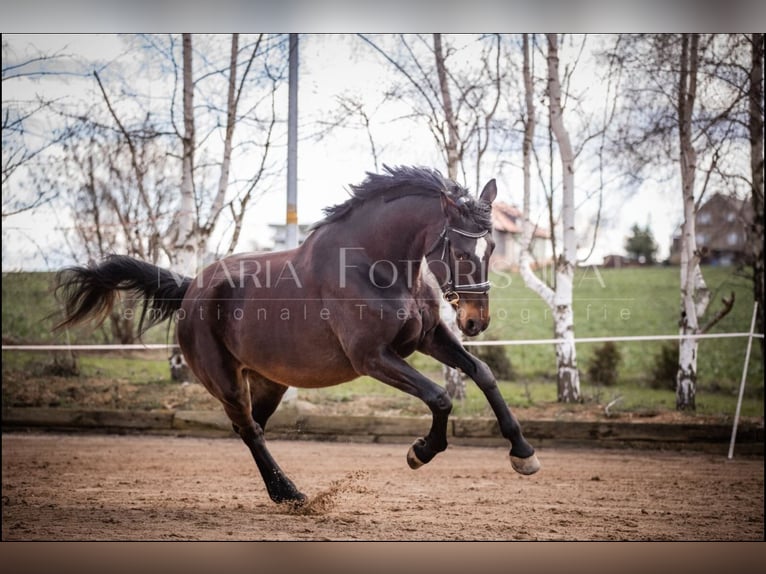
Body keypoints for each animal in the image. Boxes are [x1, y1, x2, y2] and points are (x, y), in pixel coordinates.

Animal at [55, 165, 540, 504]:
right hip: (225, 380)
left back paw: (279, 491)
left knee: (254, 428)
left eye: (491, 248)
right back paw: (289, 493)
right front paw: (420, 451)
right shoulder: (372, 358)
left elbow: (482, 374)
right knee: (248, 427)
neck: (376, 266)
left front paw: (523, 452)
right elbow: (439, 396)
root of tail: (192, 288)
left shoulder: (427, 339)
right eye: (460, 251)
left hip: (270, 380)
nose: (476, 321)